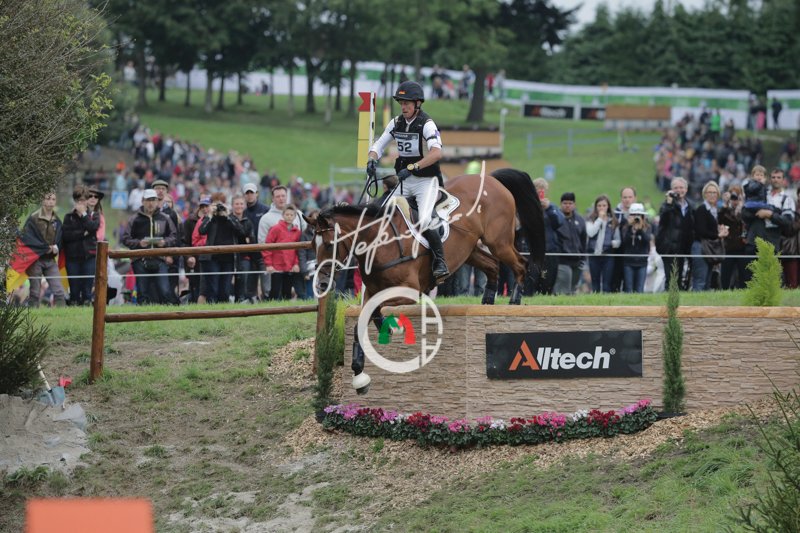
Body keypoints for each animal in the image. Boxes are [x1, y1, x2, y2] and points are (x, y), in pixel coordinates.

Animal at [304, 168, 545, 394]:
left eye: (329, 244)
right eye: (312, 245)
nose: (321, 285)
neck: (378, 240)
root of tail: (491, 179)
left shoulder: (408, 291)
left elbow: (374, 312)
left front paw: (389, 329)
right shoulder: (372, 292)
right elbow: (364, 319)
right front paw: (359, 375)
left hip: (498, 242)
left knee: (520, 264)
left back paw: (514, 301)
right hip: (471, 249)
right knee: (493, 266)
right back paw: (487, 301)